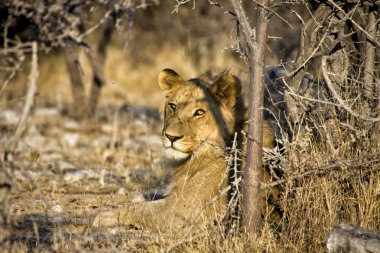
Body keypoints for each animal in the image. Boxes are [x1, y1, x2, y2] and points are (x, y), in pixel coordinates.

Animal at [91, 68, 276, 231]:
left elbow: (139, 210)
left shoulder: (183, 211)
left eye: (199, 112)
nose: (171, 137)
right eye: (173, 106)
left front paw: (100, 217)